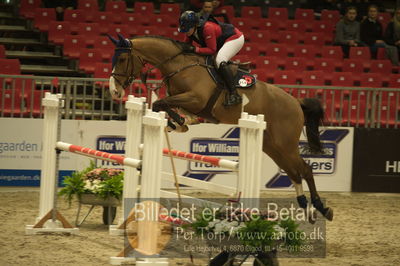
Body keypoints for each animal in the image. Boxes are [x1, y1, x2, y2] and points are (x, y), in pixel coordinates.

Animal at [108, 33, 332, 222]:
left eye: (122, 59)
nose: (114, 91)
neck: (179, 65)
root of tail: (296, 101)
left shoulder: (195, 99)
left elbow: (160, 103)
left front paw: (178, 123)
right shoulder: (185, 101)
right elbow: (162, 104)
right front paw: (179, 123)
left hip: (285, 143)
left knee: (305, 169)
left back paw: (321, 208)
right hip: (272, 146)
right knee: (294, 172)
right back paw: (306, 209)